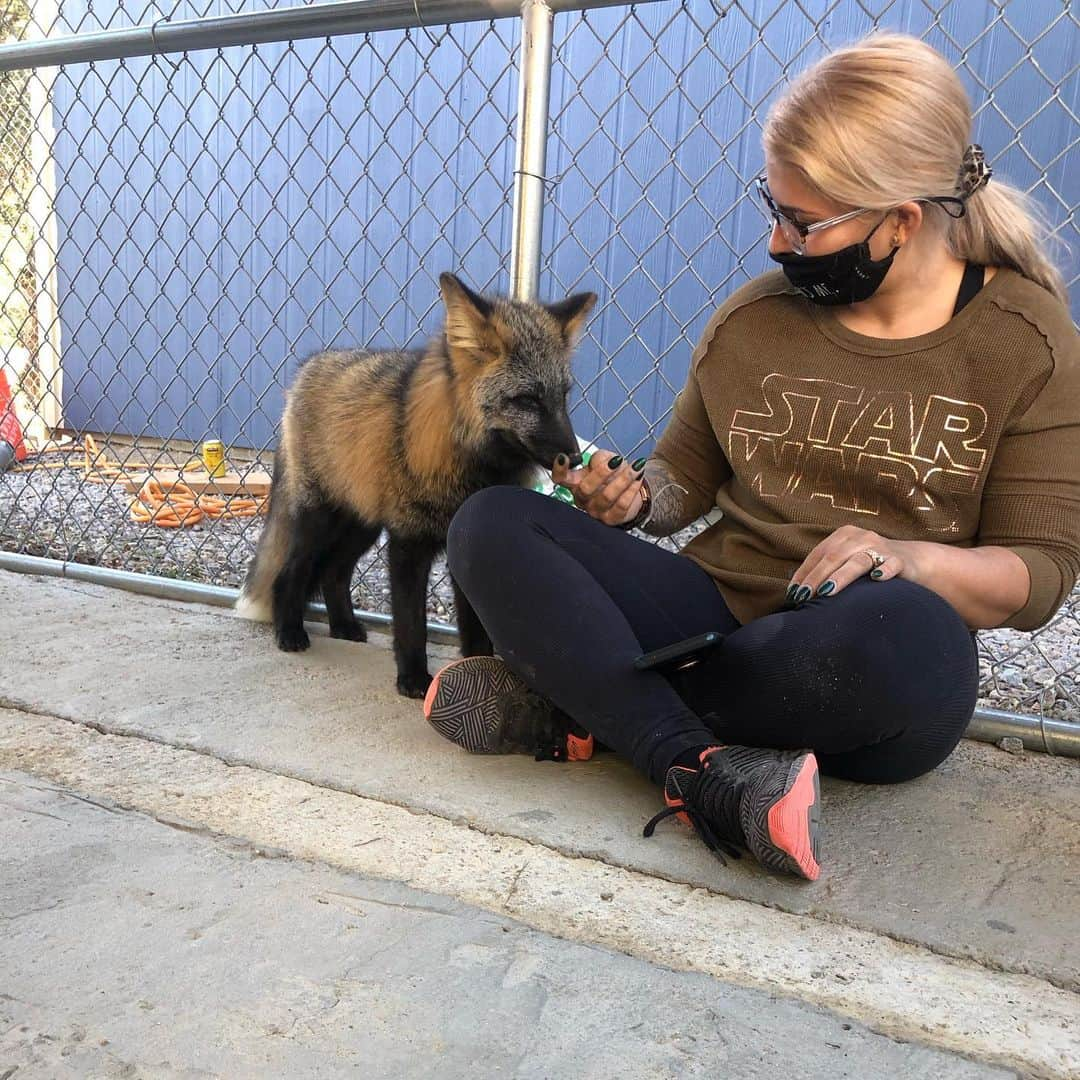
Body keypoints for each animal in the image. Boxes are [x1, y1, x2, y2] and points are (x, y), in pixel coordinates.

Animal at [235, 274, 600, 695]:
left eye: (562, 397)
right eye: (527, 400)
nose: (575, 458)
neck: (469, 471)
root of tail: (305, 371)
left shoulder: (466, 546)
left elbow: (476, 632)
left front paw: (478, 676)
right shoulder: (408, 544)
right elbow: (412, 624)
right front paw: (412, 680)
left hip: (362, 526)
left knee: (333, 574)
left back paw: (343, 625)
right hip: (320, 522)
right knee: (290, 573)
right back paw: (289, 632)